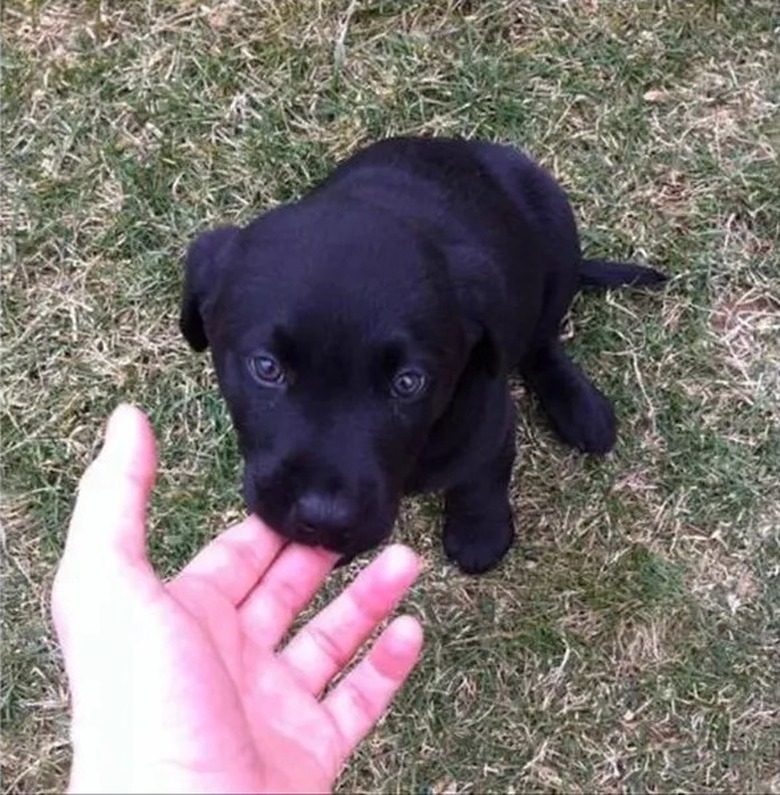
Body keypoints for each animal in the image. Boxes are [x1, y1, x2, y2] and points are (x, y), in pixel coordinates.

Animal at [181, 137, 664, 572]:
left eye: (408, 382)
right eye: (267, 367)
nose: (326, 519)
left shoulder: (488, 416)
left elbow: (484, 473)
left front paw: (479, 533)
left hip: (557, 232)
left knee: (542, 339)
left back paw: (581, 409)